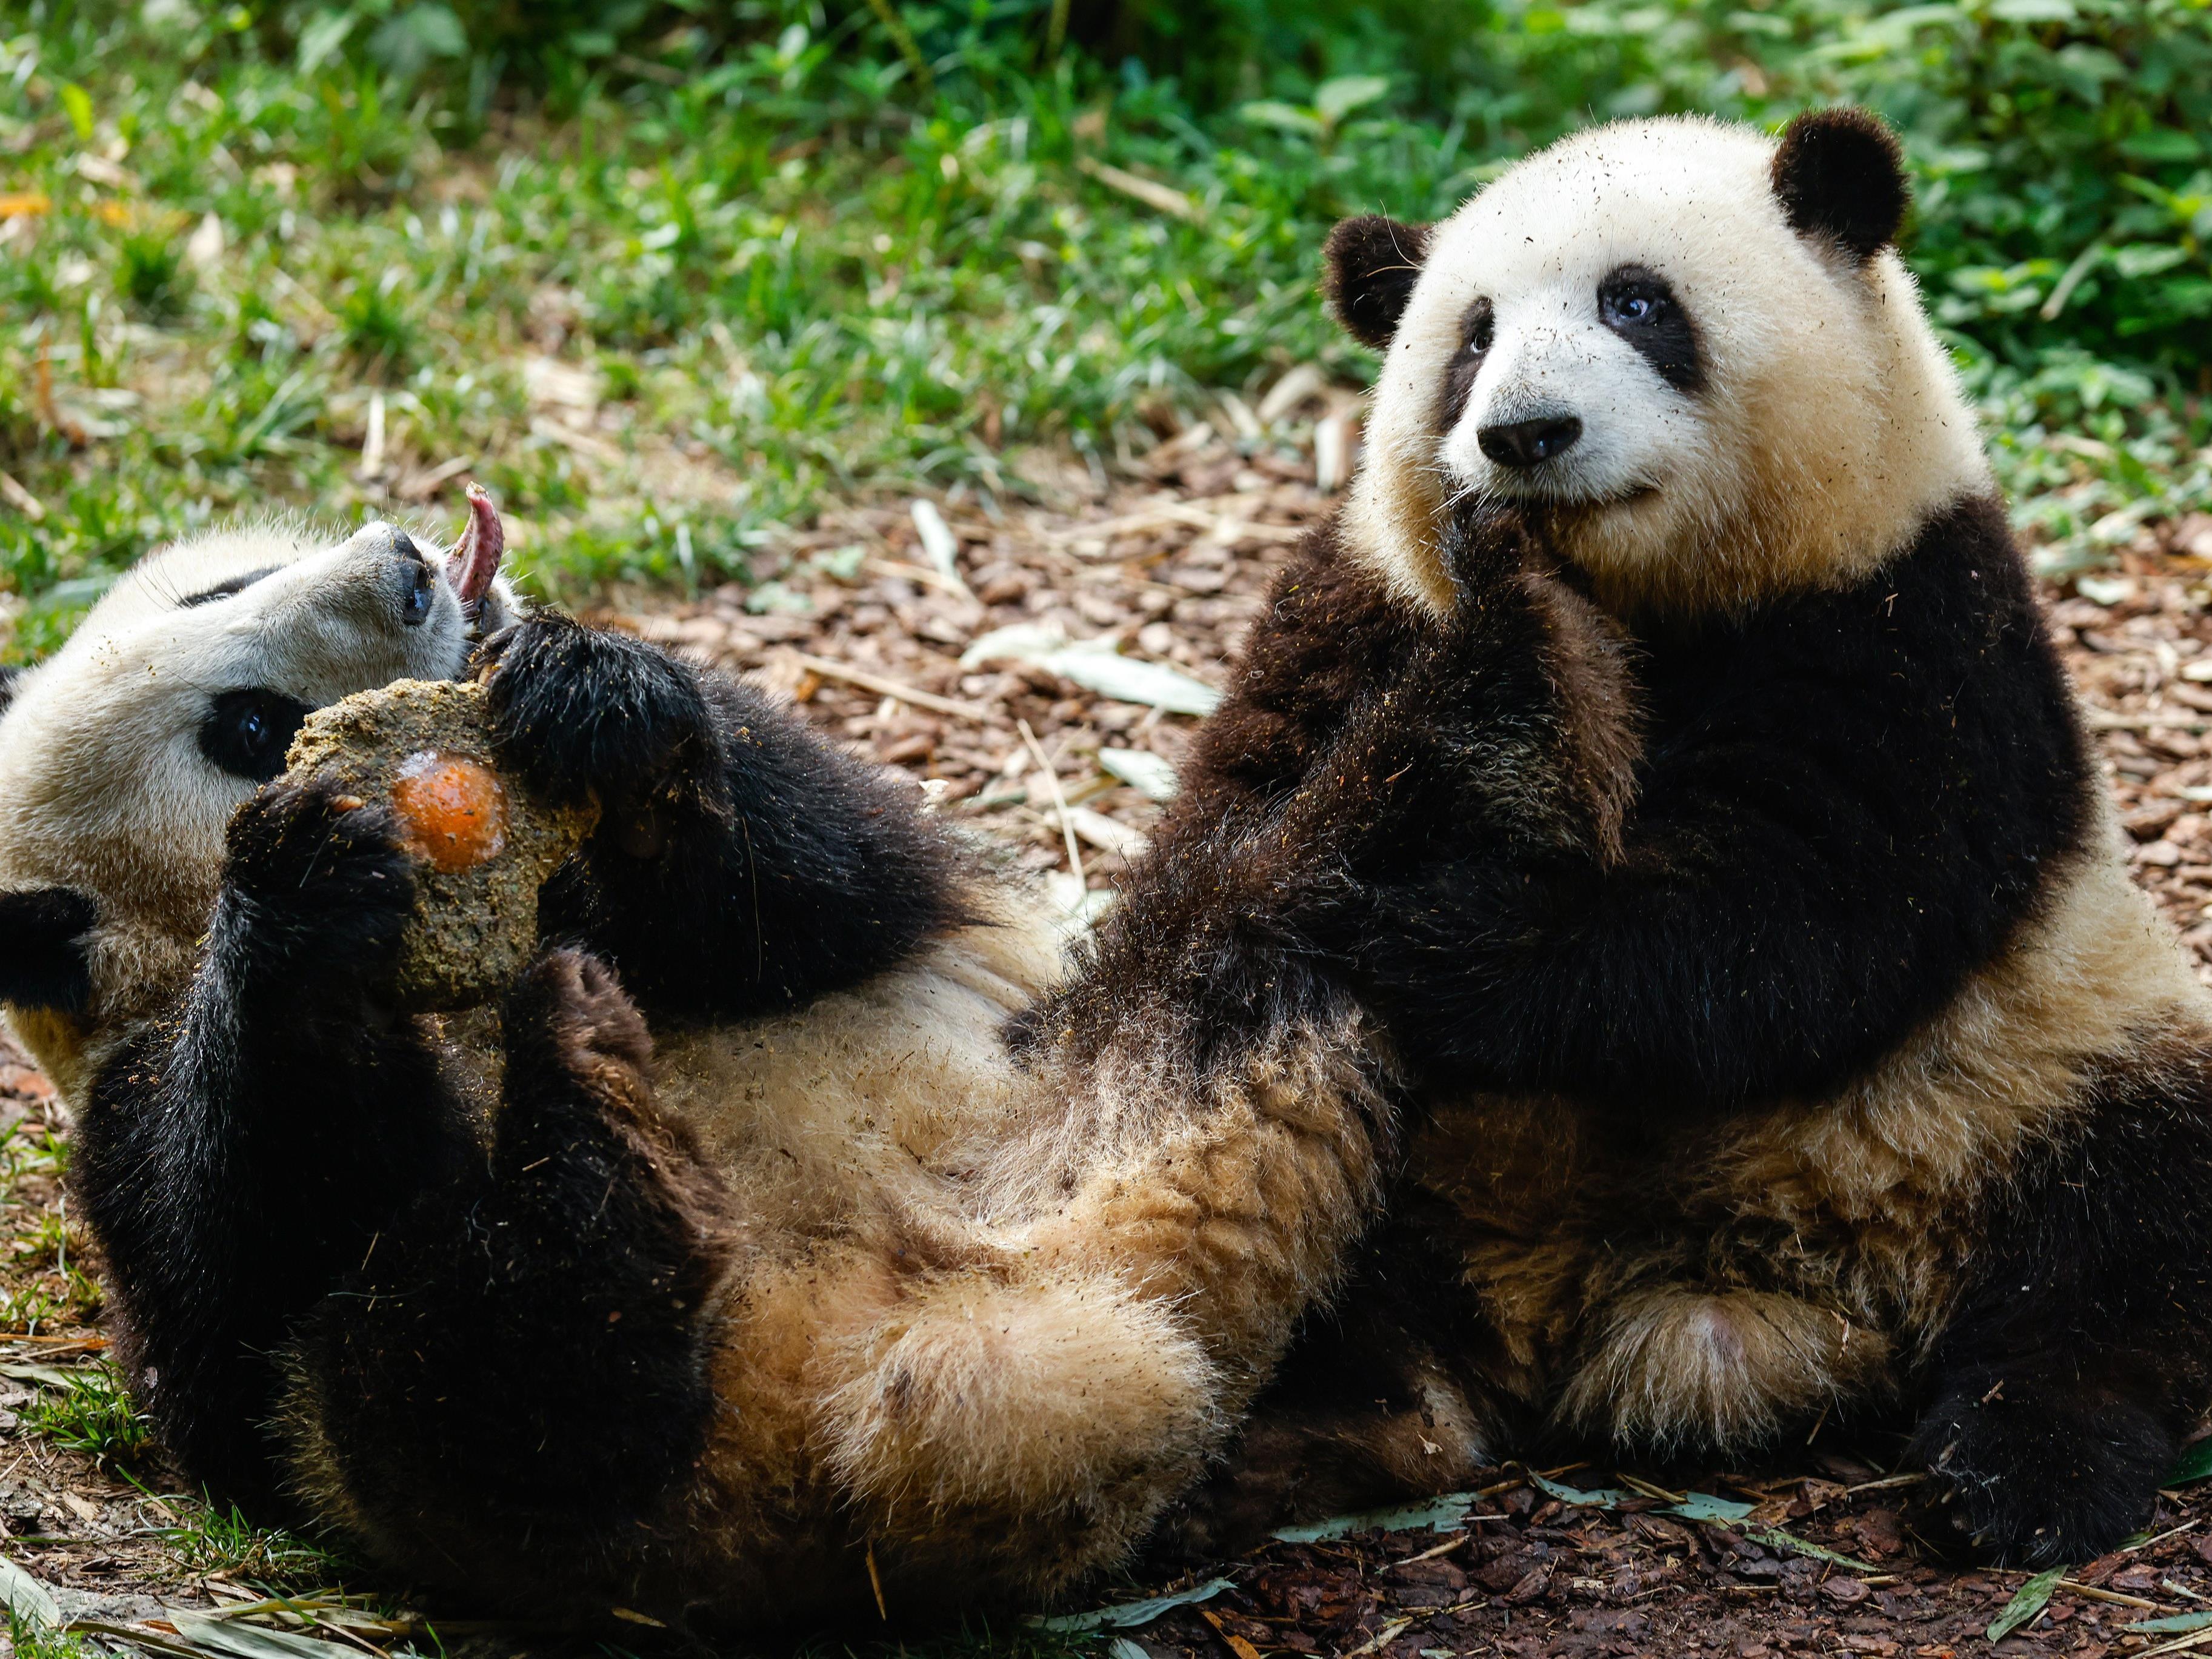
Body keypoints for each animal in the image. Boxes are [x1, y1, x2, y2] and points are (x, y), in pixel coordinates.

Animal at [0, 500, 1380, 1627]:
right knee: (472, 1383)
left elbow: (815, 895)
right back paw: (599, 1153)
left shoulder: (865, 883)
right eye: (248, 726)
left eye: (220, 586)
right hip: (471, 1463)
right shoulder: (128, 1098)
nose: (407, 574)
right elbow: (222, 1307)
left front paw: (601, 707)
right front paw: (303, 883)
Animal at [1030, 107, 2212, 1575]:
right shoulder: (1359, 597)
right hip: (1431, 1186)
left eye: (1637, 303)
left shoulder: (1915, 620)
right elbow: (1235, 831)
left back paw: (2027, 1464)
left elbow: (1801, 920)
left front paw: (1450, 942)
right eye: (1471, 335)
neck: (1634, 599)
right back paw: (1323, 1428)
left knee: (2128, 1219)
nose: (1525, 435)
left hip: (2044, 1058)